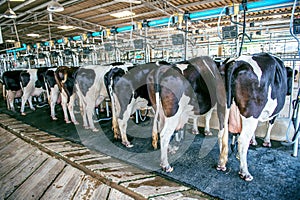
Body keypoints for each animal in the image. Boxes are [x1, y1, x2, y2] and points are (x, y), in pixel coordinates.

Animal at [219, 52, 294, 181]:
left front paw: (252, 141)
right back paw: (245, 172)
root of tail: (236, 62)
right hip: (252, 112)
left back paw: (221, 164)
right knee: (242, 140)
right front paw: (266, 141)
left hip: (223, 108)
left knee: (221, 134)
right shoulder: (274, 113)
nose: (289, 91)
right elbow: (270, 124)